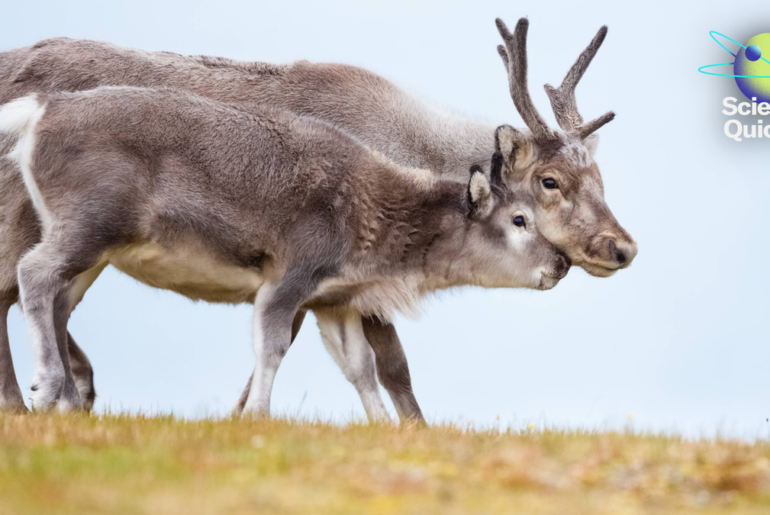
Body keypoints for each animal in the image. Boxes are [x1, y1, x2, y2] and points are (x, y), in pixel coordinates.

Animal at [0, 18, 636, 421]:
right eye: (550, 182)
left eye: (602, 180)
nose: (622, 247)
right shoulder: (318, 273)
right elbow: (392, 368)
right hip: (48, 224)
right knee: (21, 285)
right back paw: (34, 395)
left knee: (47, 297)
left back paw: (71, 389)